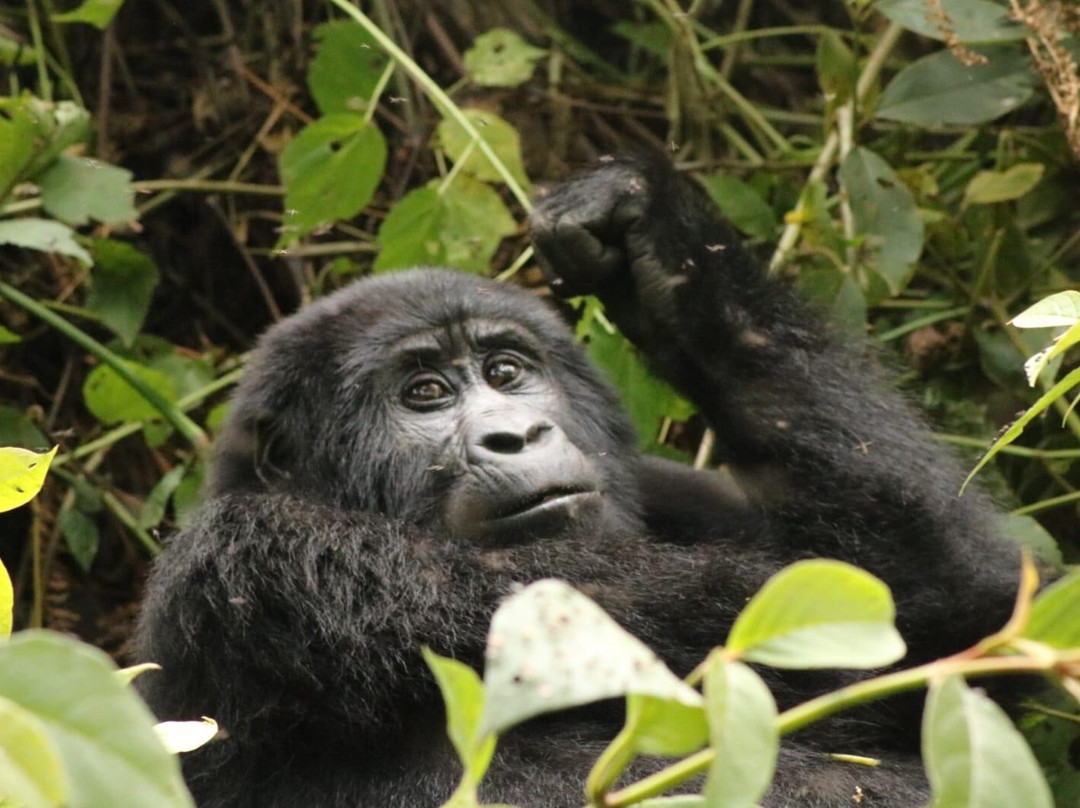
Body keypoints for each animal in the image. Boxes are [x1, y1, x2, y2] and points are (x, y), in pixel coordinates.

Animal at [135, 153, 1019, 808]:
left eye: (506, 371)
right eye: (425, 393)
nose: (516, 434)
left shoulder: (679, 490)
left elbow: (949, 622)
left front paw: (663, 245)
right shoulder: (261, 556)